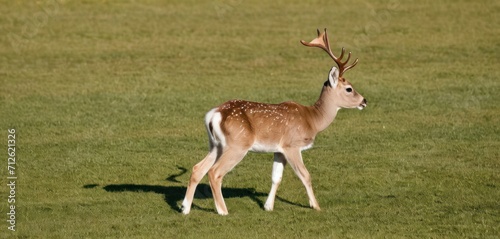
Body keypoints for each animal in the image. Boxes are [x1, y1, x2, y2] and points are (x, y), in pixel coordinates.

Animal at [182, 29, 366, 216]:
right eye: (349, 88)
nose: (364, 101)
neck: (312, 120)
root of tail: (214, 115)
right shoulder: (292, 145)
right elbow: (305, 175)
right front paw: (316, 206)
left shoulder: (278, 150)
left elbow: (276, 177)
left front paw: (268, 206)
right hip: (238, 144)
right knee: (214, 172)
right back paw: (222, 210)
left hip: (216, 145)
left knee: (197, 168)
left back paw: (185, 208)